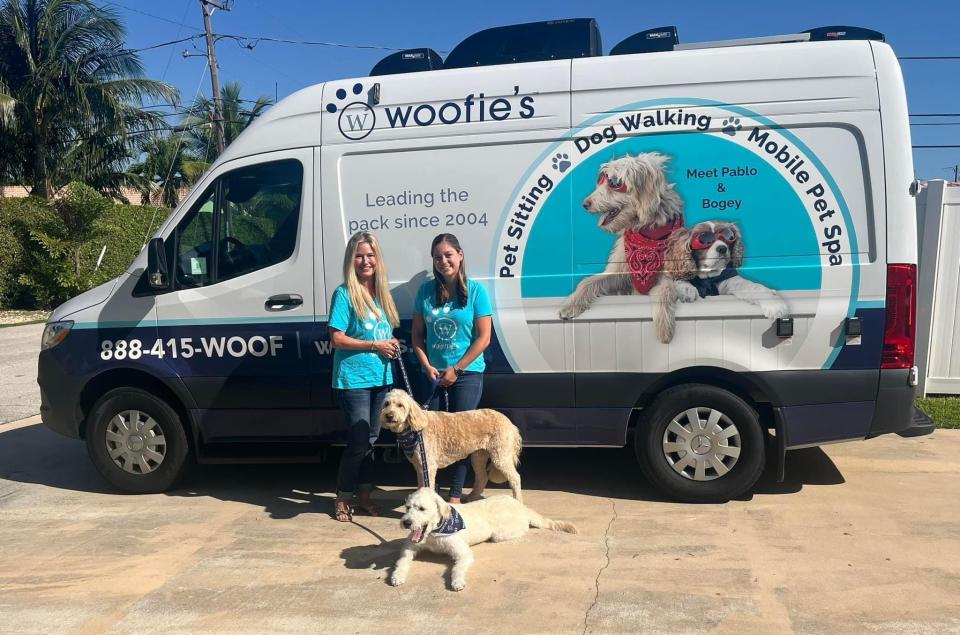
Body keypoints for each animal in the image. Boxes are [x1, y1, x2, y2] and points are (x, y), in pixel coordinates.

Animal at [376, 390, 524, 504]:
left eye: (400, 405)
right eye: (386, 404)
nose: (389, 415)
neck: (414, 429)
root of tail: (510, 423)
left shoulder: (429, 466)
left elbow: (427, 487)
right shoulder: (419, 466)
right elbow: (421, 486)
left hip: (500, 456)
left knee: (515, 478)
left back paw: (518, 502)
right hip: (479, 456)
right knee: (482, 477)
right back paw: (472, 498)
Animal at [388, 490, 576, 592]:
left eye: (422, 508)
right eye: (407, 507)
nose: (406, 522)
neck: (434, 532)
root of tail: (519, 504)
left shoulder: (463, 553)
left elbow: (457, 568)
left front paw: (457, 582)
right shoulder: (408, 548)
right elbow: (401, 562)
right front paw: (397, 576)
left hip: (500, 534)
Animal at [556, 153, 684, 320]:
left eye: (615, 182)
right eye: (601, 181)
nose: (585, 204)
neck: (646, 233)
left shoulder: (667, 276)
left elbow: (664, 291)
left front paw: (664, 325)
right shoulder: (619, 271)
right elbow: (588, 281)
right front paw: (572, 303)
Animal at [656, 222, 792, 346]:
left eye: (728, 236)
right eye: (704, 239)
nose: (722, 248)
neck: (708, 277)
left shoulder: (732, 282)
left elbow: (753, 287)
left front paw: (774, 304)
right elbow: (674, 279)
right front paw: (687, 288)